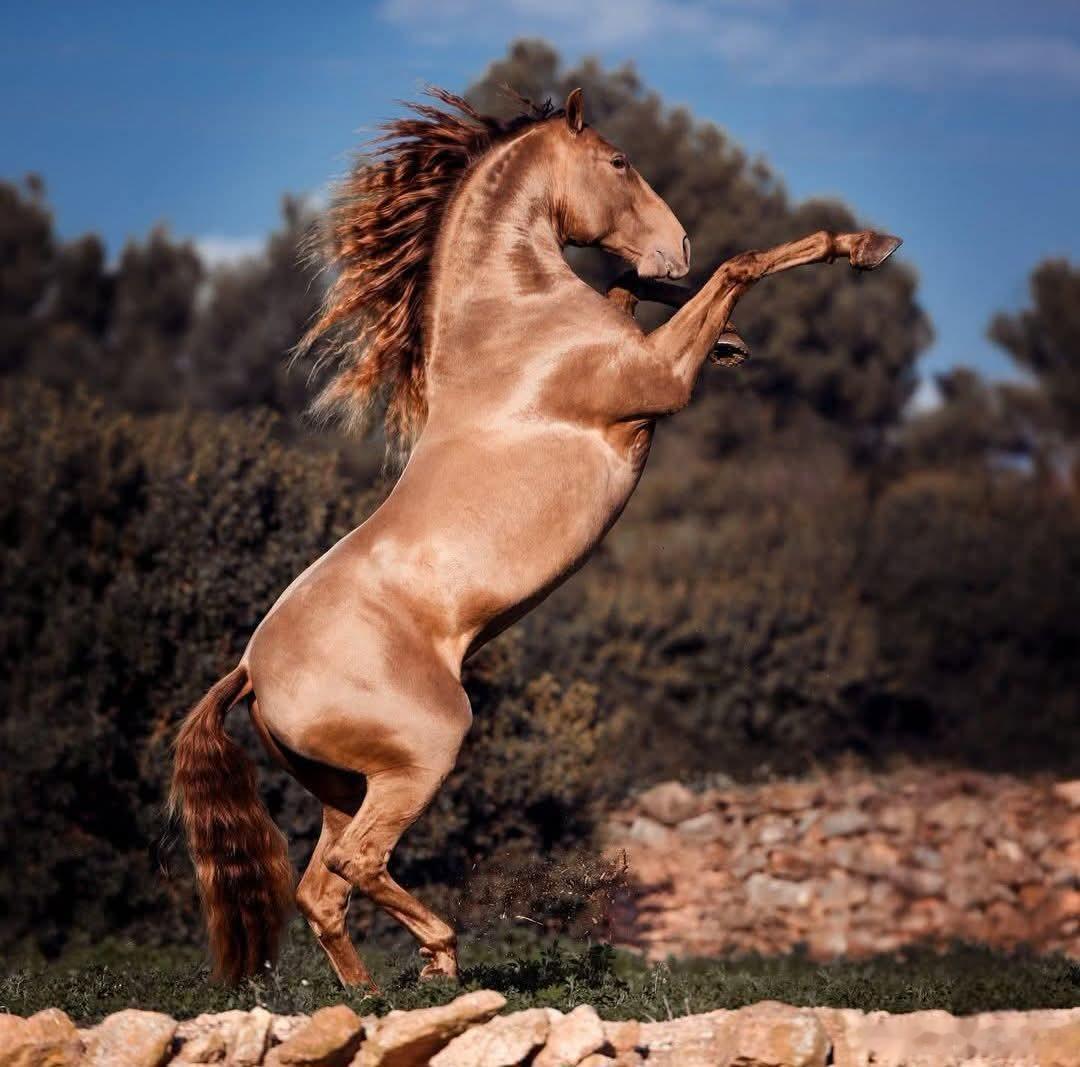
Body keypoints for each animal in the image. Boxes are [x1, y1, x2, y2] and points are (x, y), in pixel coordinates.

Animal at [170, 87, 901, 989]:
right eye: (620, 161)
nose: (678, 242)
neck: (513, 325)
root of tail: (250, 670)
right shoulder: (662, 382)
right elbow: (738, 267)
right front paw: (860, 246)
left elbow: (630, 285)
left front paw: (725, 331)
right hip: (424, 750)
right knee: (356, 866)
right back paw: (442, 957)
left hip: (344, 786)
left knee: (321, 891)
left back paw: (377, 999)